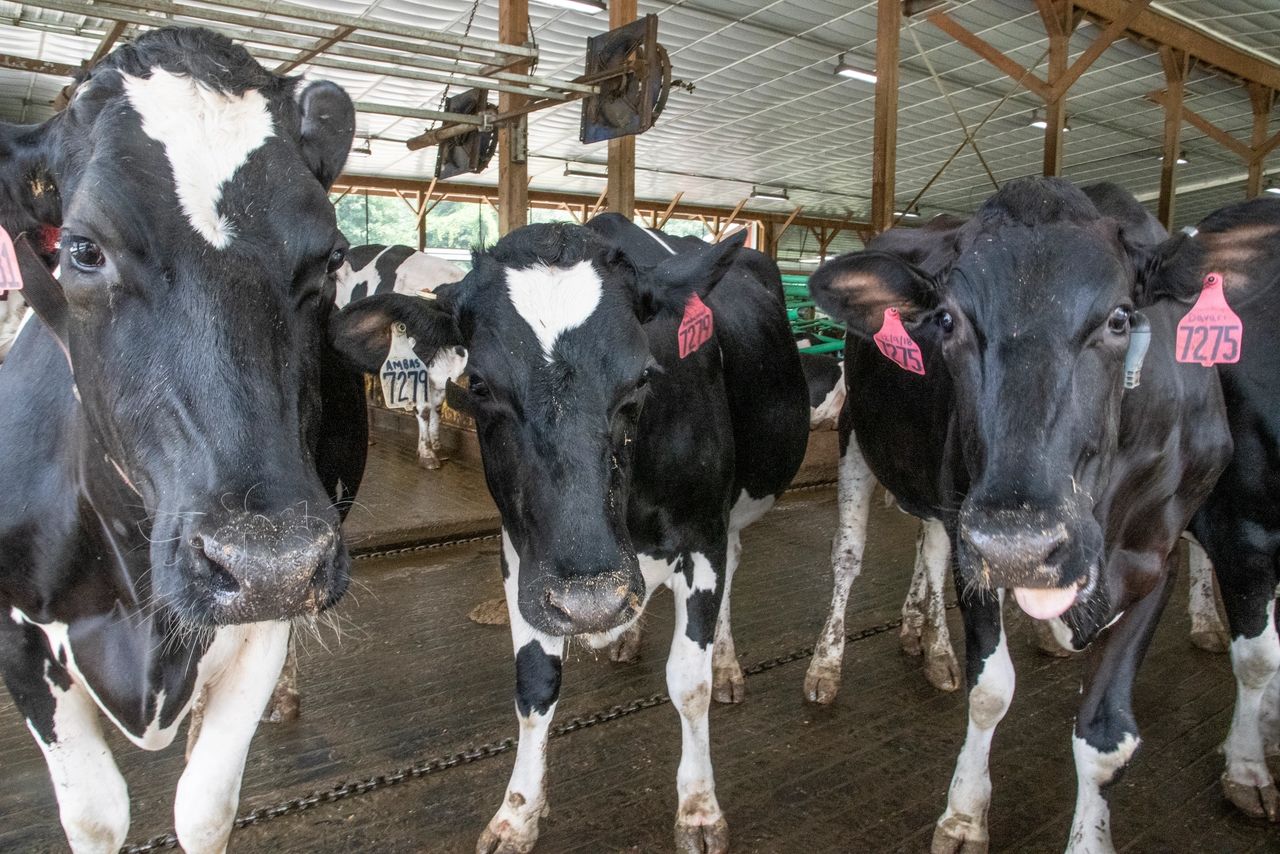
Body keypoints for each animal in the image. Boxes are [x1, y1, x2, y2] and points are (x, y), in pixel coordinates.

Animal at [0, 30, 414, 850]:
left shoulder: (259, 628)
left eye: (330, 256)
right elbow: (95, 814)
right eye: (83, 250)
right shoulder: (20, 635)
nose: (268, 560)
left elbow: (203, 804)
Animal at [803, 176, 1233, 850]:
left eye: (1120, 318)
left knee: (929, 547)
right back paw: (829, 665)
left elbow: (1105, 735)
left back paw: (928, 641)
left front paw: (1089, 835)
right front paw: (964, 813)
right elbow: (991, 691)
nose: (1019, 543)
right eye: (946, 319)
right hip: (858, 440)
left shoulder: (1153, 558)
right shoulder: (974, 536)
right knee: (849, 559)